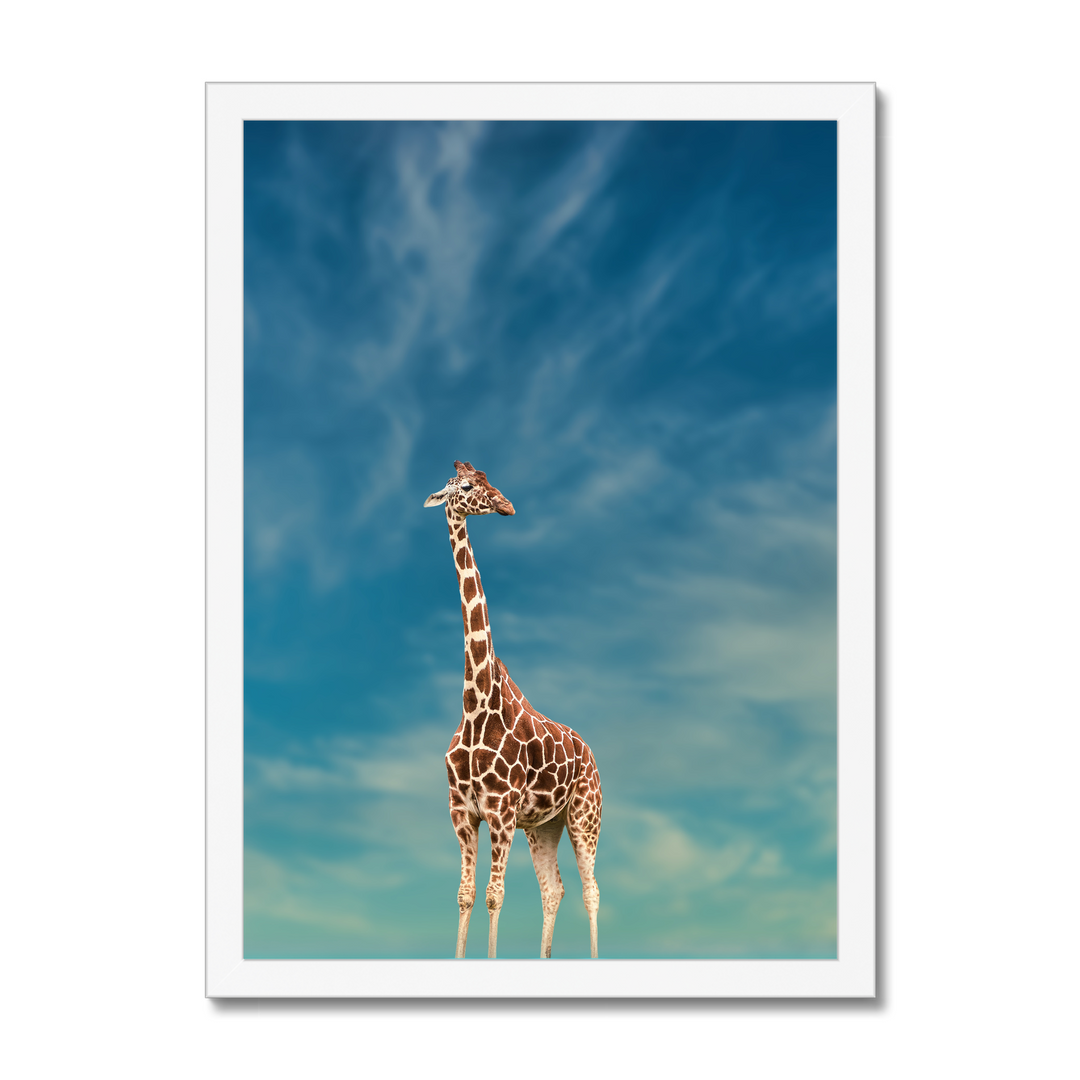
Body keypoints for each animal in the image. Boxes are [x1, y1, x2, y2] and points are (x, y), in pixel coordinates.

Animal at [424, 461, 602, 959]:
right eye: (466, 485)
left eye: (488, 478)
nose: (507, 506)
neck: (476, 703)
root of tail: (592, 756)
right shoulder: (462, 812)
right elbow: (466, 894)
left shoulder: (500, 811)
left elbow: (494, 895)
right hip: (543, 826)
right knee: (553, 889)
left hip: (585, 816)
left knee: (591, 891)